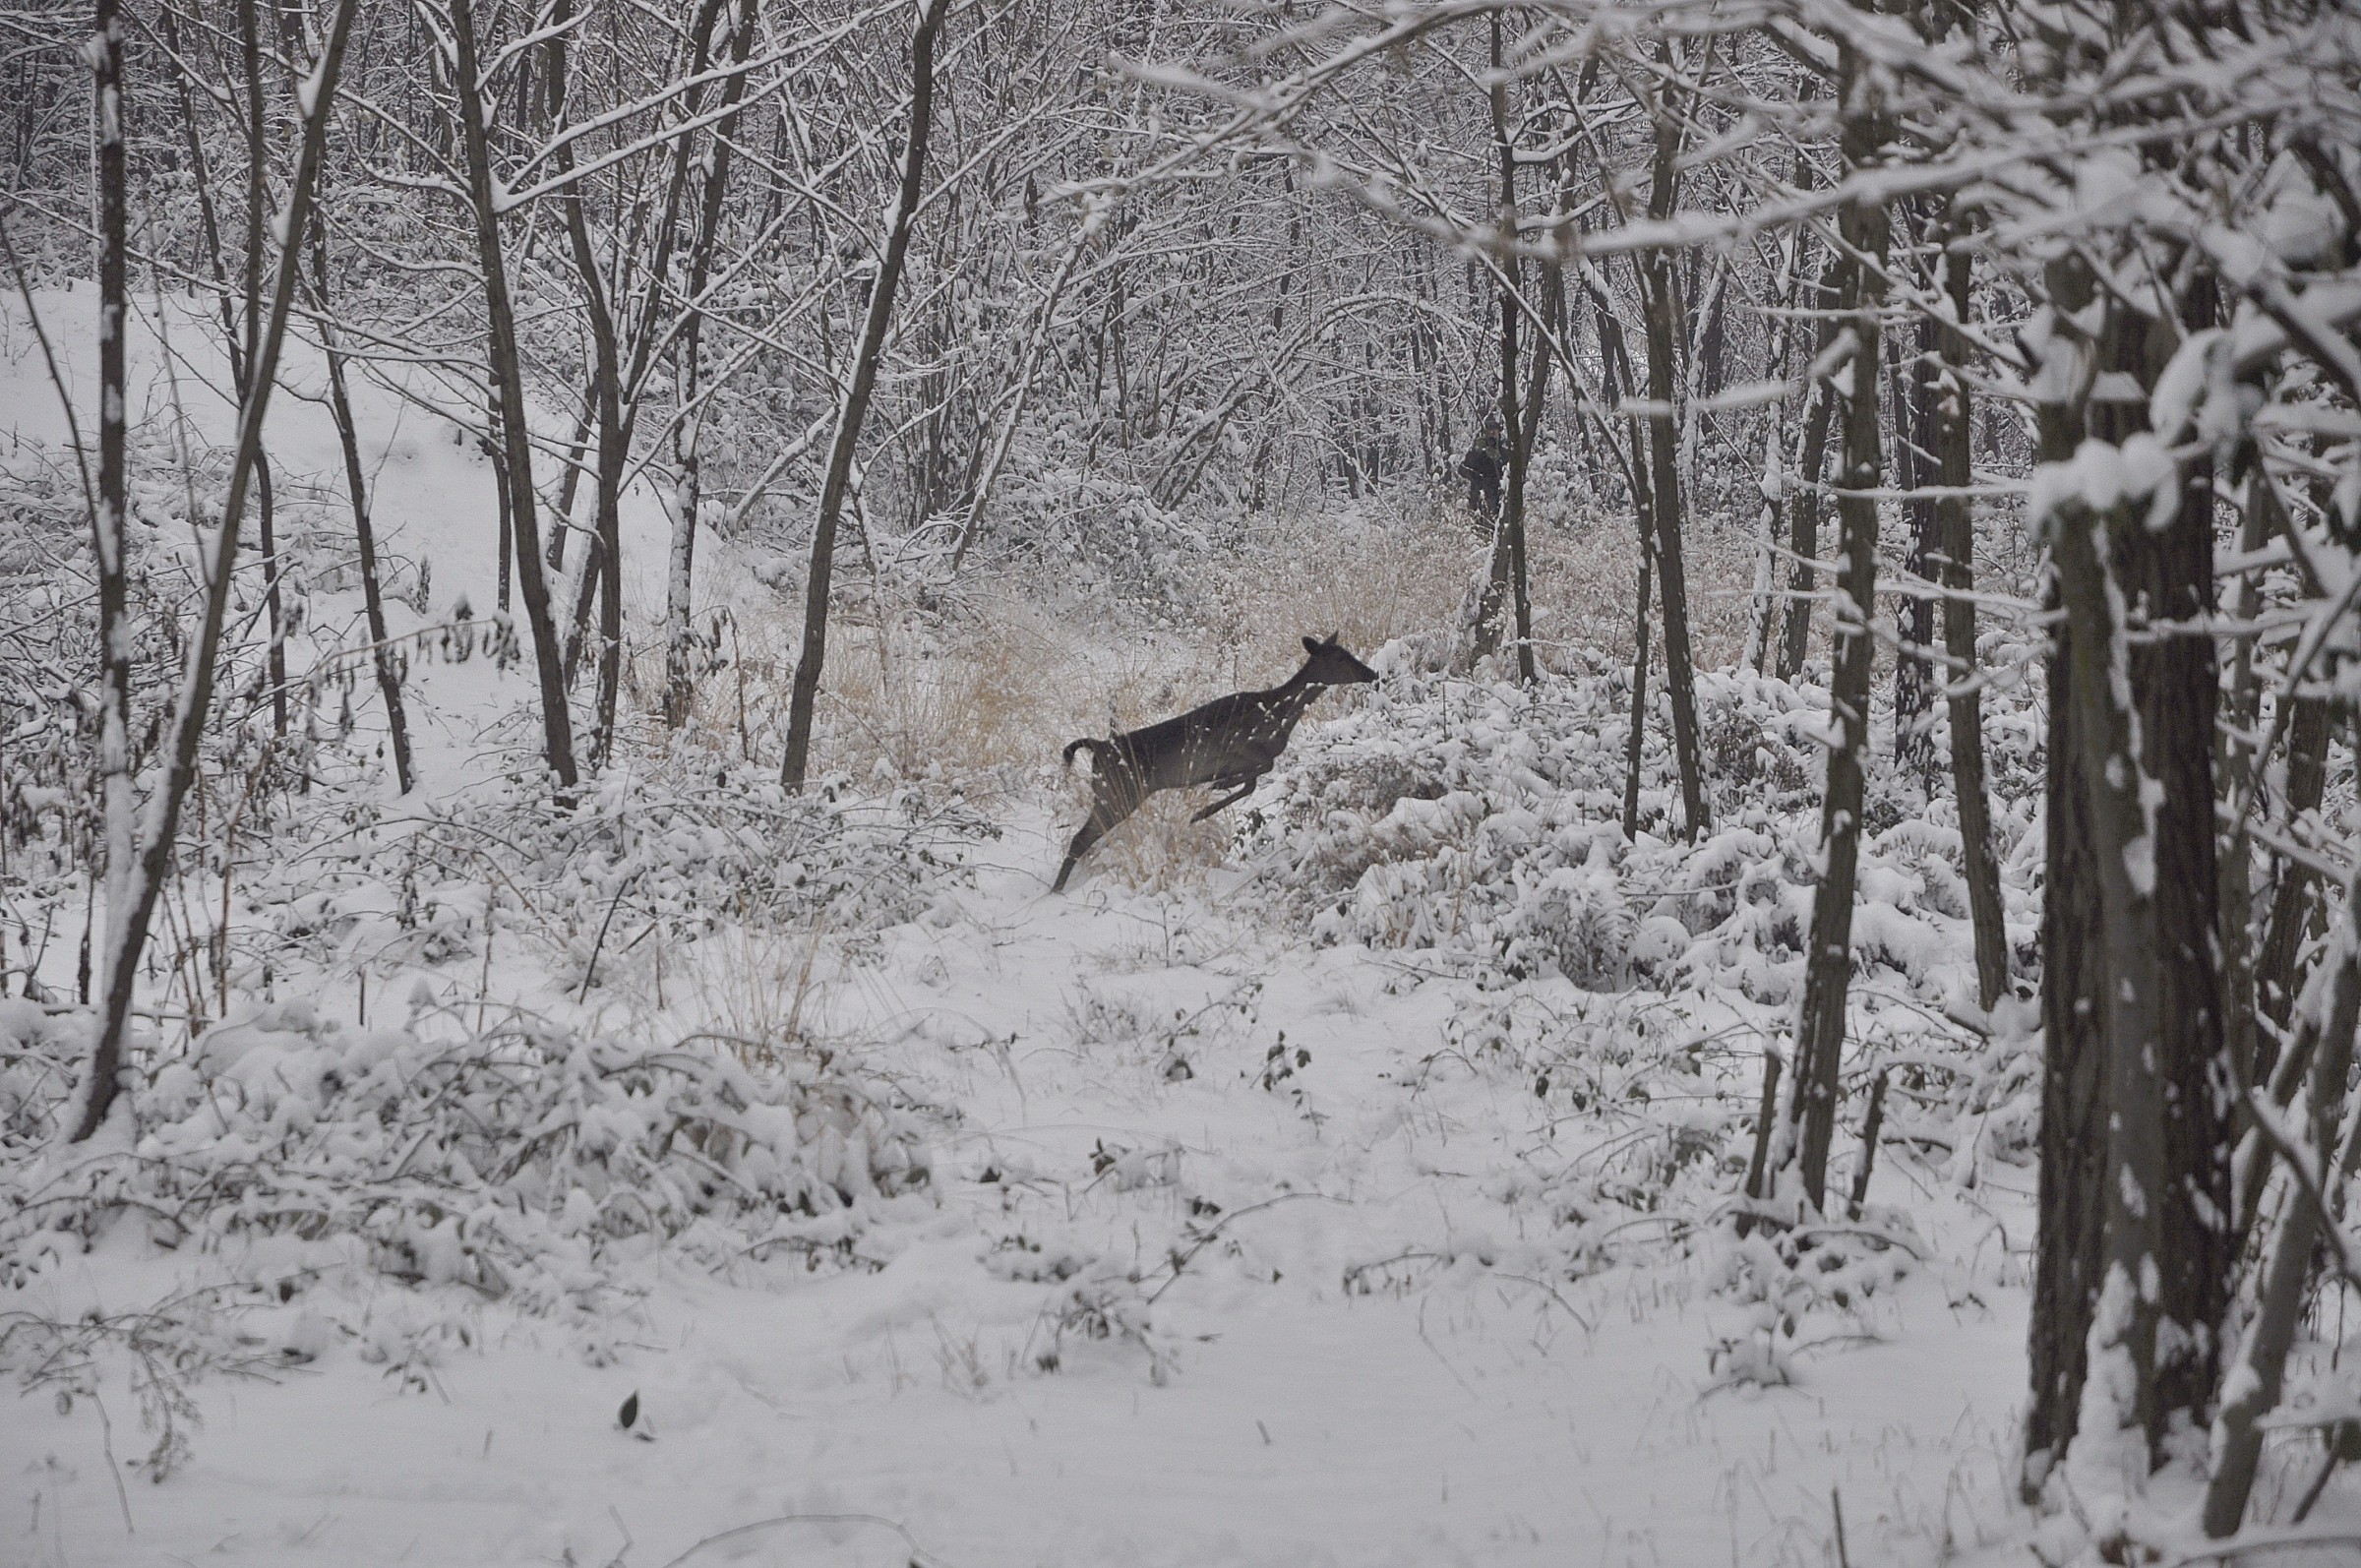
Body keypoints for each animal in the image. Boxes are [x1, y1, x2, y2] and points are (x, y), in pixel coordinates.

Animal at [1052, 634, 1378, 892]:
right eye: (1340, 657)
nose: (1372, 673)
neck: (1279, 716)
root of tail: (1099, 747)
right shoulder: (1235, 748)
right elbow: (1261, 770)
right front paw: (1211, 797)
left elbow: (1253, 780)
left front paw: (1204, 807)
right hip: (1119, 791)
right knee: (1080, 839)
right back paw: (1056, 891)